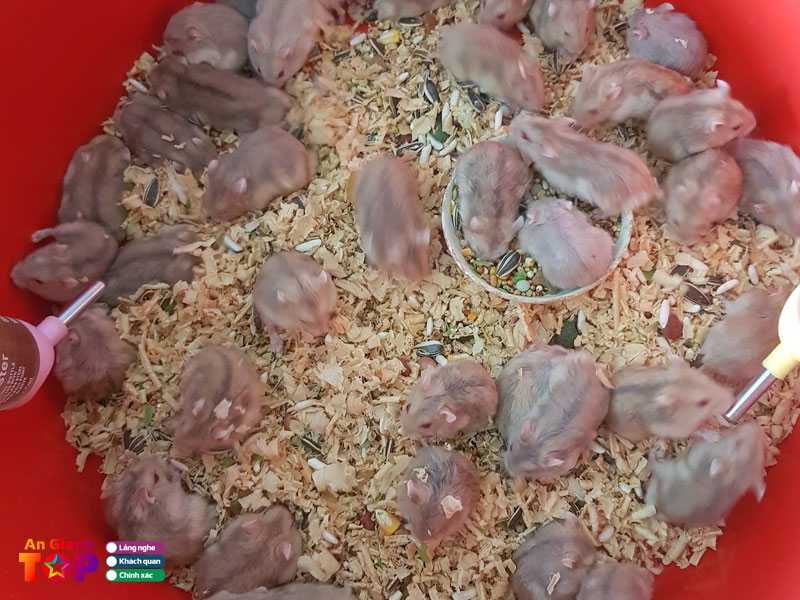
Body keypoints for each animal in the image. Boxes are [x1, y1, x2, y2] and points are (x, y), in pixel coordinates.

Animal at [150, 56, 291, 133]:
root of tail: (281, 106)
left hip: (263, 124)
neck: (178, 77)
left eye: (153, 82)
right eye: (164, 61)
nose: (149, 73)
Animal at [510, 114, 656, 216]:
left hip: (608, 203)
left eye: (524, 136)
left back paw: (596, 213)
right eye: (534, 117)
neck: (559, 140)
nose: (512, 122)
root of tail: (649, 189)